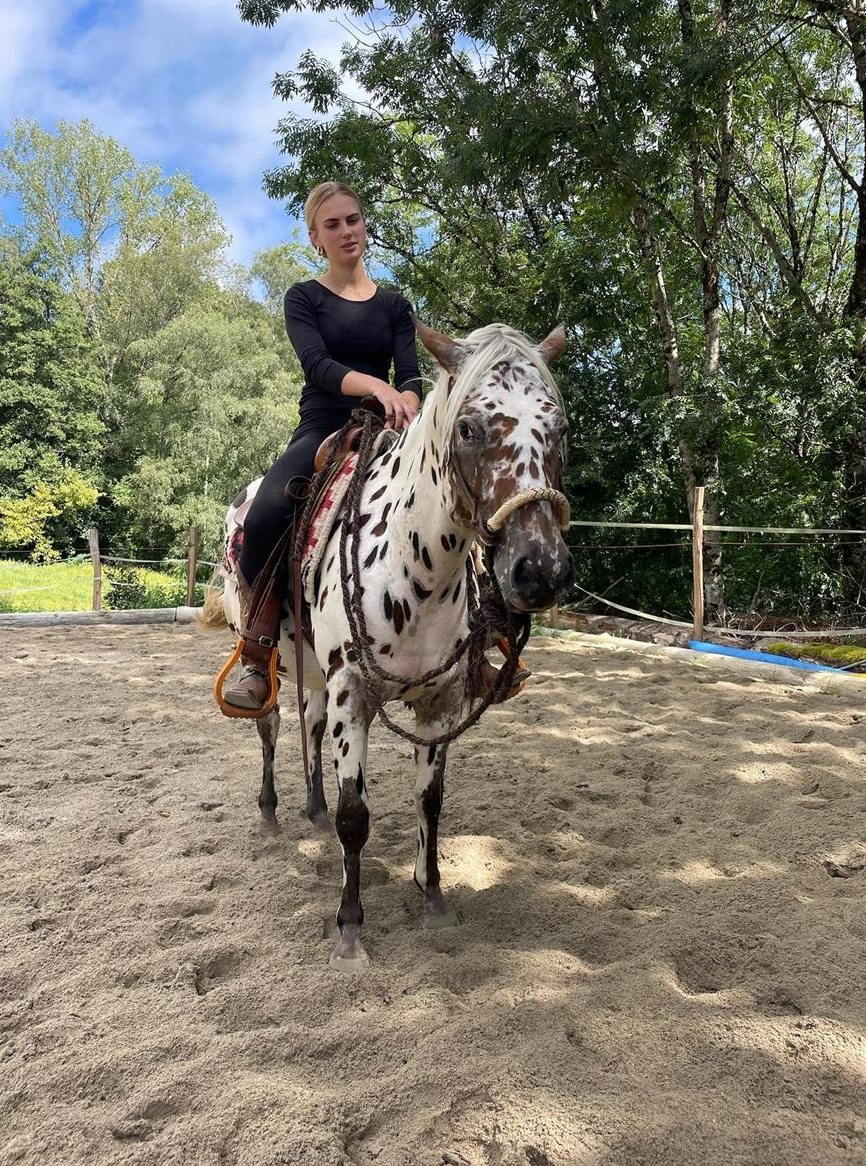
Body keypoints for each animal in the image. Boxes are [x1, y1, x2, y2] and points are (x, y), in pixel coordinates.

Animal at [206, 320, 574, 969]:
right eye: (469, 428)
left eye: (557, 428)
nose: (541, 570)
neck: (414, 565)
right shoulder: (353, 693)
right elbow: (356, 815)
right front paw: (350, 930)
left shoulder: (440, 702)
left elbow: (430, 802)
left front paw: (433, 899)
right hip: (266, 656)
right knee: (271, 725)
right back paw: (271, 812)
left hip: (312, 668)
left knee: (309, 724)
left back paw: (312, 807)